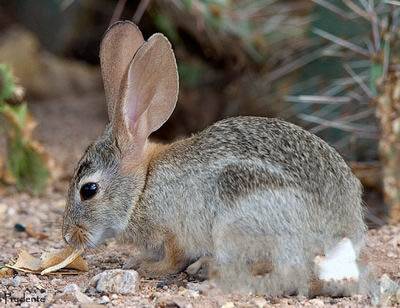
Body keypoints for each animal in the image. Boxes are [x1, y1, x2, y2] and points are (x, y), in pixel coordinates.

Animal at [61, 21, 370, 296]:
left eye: (89, 190)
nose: (67, 235)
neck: (141, 188)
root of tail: (344, 233)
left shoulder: (174, 233)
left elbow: (173, 258)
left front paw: (147, 267)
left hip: (242, 219)